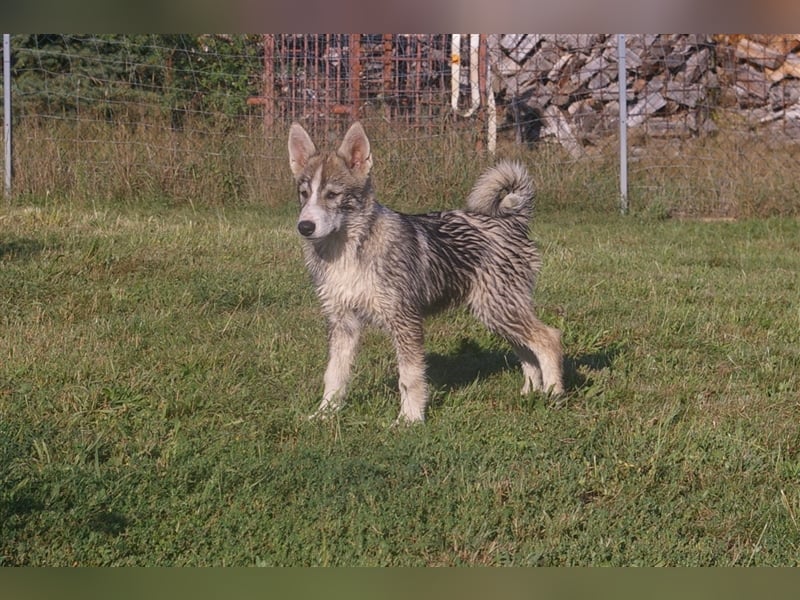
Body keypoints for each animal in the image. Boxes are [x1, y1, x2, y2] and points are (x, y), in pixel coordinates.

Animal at [288, 122, 564, 422]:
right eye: (304, 193)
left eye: (333, 194)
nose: (305, 227)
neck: (348, 250)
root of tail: (513, 221)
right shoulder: (342, 322)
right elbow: (334, 375)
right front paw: (325, 414)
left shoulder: (405, 320)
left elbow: (409, 378)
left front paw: (409, 419)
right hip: (496, 313)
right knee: (527, 351)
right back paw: (530, 392)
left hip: (499, 308)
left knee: (548, 339)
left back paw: (554, 393)